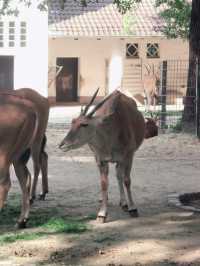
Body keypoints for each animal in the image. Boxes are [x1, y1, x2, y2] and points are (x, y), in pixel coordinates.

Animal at [59, 88, 158, 221]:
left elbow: (127, 180)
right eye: (73, 121)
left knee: (119, 175)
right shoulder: (101, 159)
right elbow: (104, 183)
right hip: (98, 157)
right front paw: (102, 213)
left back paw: (124, 203)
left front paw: (133, 208)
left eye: (84, 124)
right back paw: (105, 199)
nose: (62, 144)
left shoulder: (128, 156)